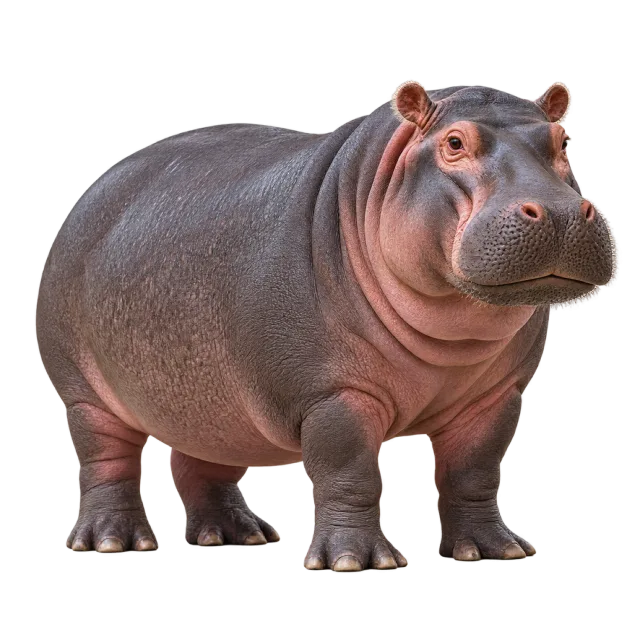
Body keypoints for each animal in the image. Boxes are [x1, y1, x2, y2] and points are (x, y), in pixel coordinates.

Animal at [40, 80, 619, 570]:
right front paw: (356, 561)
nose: (560, 212)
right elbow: (349, 470)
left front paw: (492, 550)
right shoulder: (333, 392)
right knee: (105, 458)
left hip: (207, 399)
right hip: (84, 389)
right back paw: (112, 541)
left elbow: (474, 470)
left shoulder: (495, 395)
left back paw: (238, 535)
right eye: (454, 142)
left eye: (562, 141)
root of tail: (96, 186)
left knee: (204, 461)